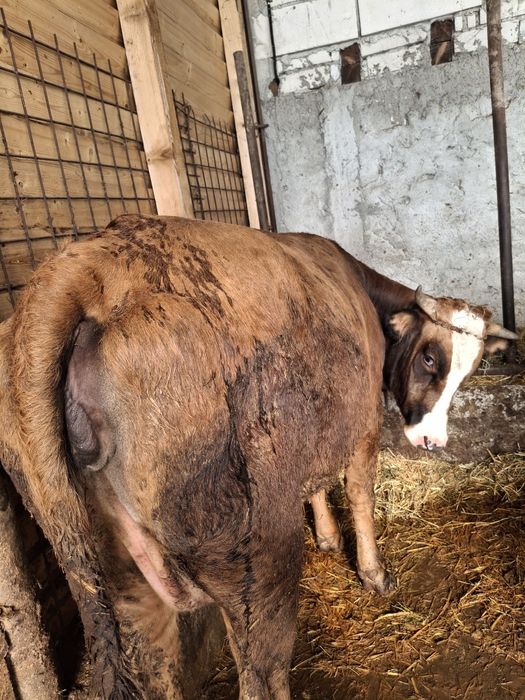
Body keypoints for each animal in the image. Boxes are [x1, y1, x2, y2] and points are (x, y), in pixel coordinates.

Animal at [0, 215, 516, 699]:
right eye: (430, 357)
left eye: (471, 370)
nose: (433, 440)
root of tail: (91, 262)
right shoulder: (364, 422)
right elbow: (359, 495)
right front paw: (373, 574)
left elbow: (316, 485)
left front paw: (328, 537)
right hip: (255, 555)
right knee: (262, 672)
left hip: (113, 574)